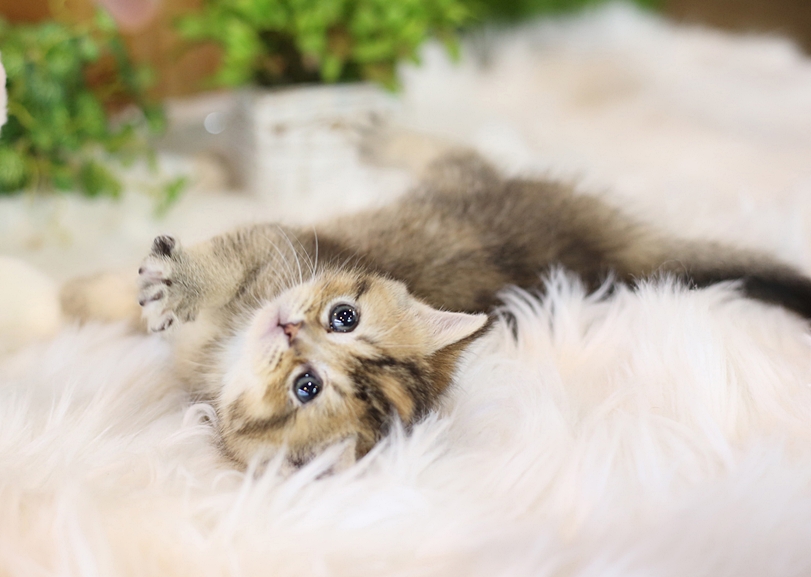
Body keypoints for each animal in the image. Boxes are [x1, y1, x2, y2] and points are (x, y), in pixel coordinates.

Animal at [63, 150, 811, 468]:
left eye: (308, 387)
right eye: (343, 316)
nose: (289, 326)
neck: (221, 351)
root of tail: (611, 258)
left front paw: (82, 293)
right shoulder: (282, 251)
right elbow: (217, 265)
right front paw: (126, 288)